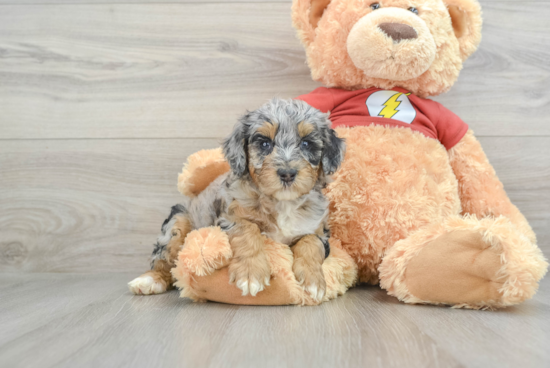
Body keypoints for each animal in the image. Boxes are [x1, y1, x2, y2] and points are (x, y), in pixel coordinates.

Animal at [129, 98, 344, 302]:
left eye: (306, 143)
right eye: (265, 143)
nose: (287, 173)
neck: (282, 202)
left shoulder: (319, 231)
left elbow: (311, 242)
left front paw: (313, 281)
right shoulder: (229, 217)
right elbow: (248, 230)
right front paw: (251, 275)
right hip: (177, 222)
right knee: (163, 259)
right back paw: (149, 280)